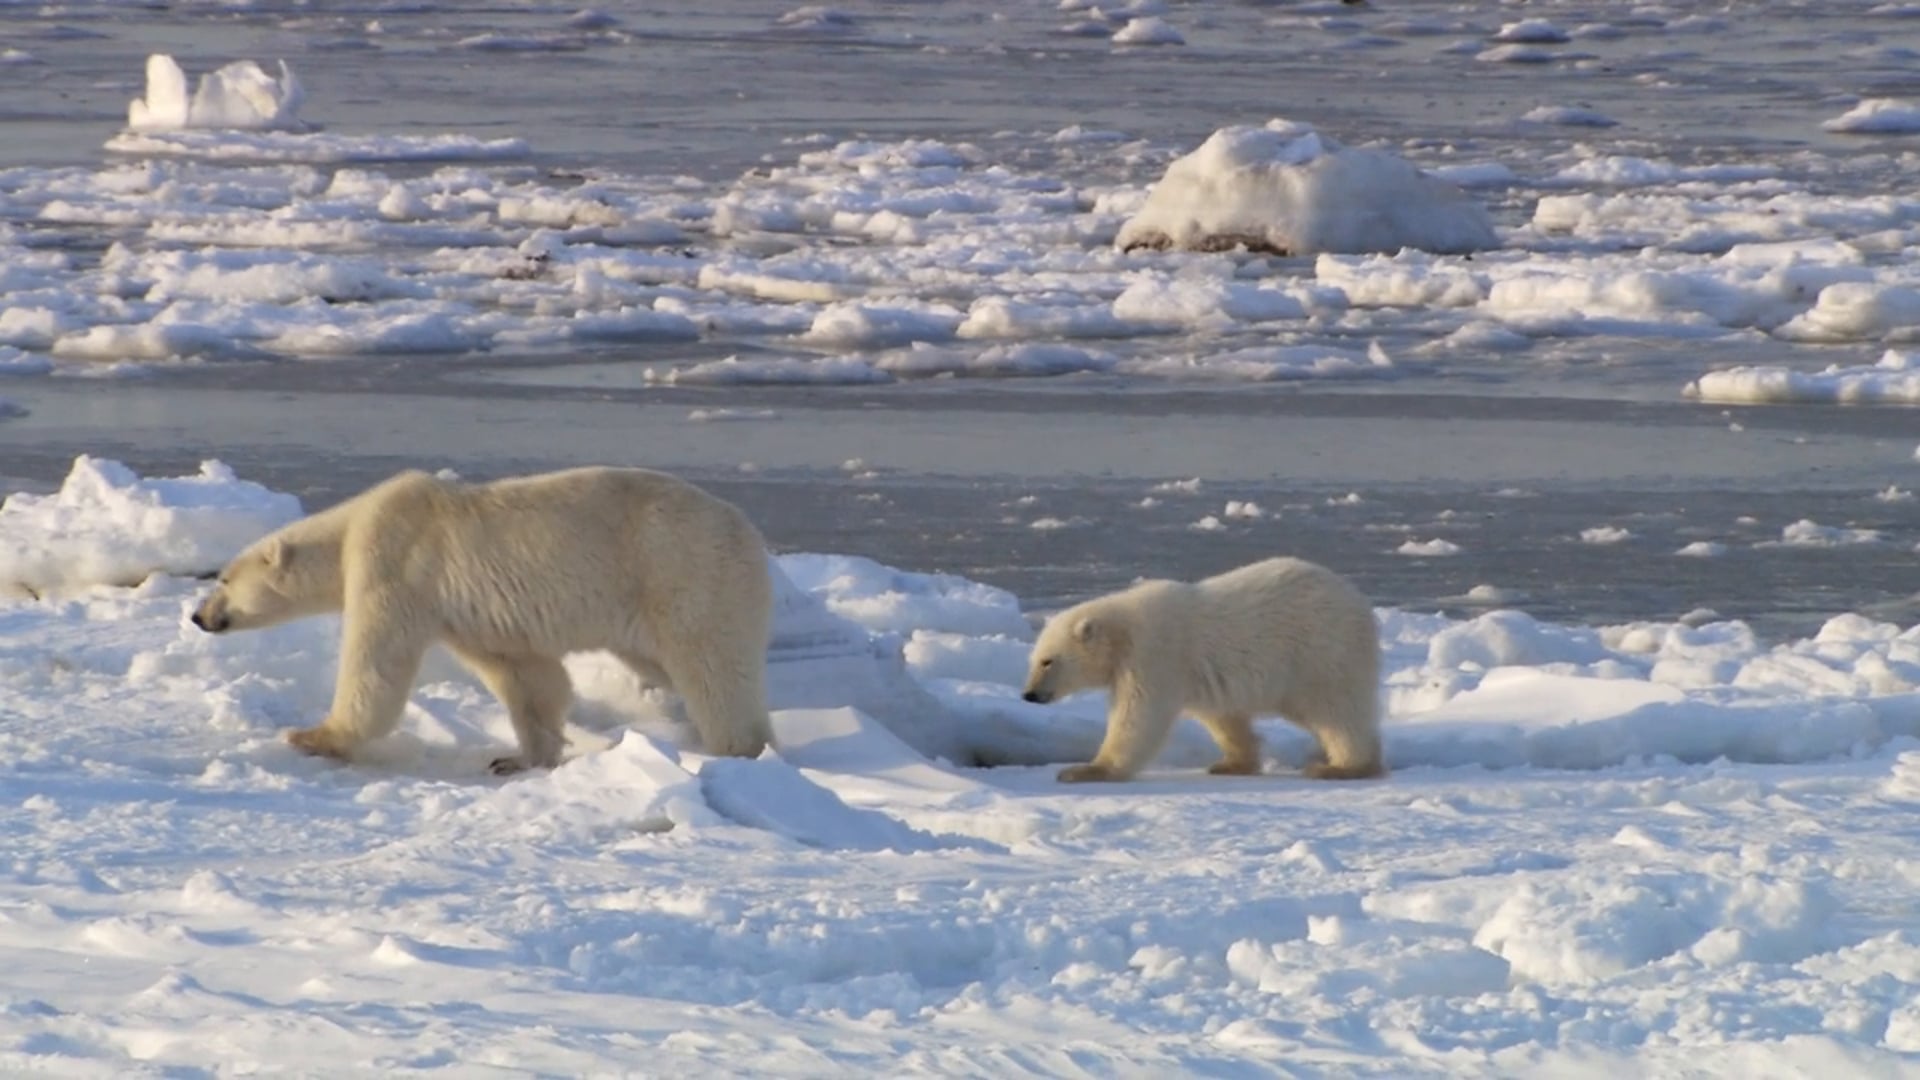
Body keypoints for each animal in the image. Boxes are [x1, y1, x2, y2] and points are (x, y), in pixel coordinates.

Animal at [189, 466, 771, 768]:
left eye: (223, 579)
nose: (198, 616)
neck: (350, 528)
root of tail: (748, 530)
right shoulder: (461, 614)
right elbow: (525, 673)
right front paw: (521, 757)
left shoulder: (396, 565)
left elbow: (376, 663)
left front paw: (313, 736)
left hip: (684, 573)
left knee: (712, 667)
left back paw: (737, 750)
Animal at [1021, 553, 1382, 780]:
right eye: (1033, 660)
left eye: (1048, 661)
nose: (1029, 694)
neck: (1122, 632)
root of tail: (1360, 602)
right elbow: (1221, 717)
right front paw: (1232, 763)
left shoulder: (1154, 654)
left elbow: (1138, 715)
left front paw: (1084, 770)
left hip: (1320, 652)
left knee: (1336, 711)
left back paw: (1342, 767)